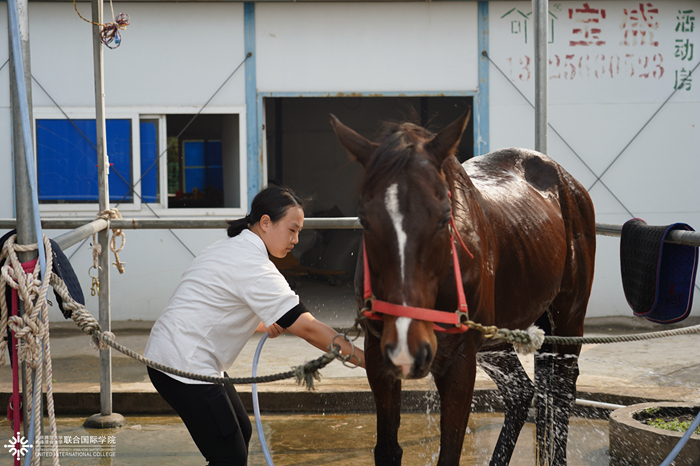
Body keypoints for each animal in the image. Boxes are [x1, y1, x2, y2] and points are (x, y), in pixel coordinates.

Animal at [330, 110, 592, 466]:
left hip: (568, 319)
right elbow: (387, 450)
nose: (409, 345)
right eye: (365, 221)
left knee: (562, 394)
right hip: (496, 341)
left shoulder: (459, 361)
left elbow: (450, 452)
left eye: (444, 219)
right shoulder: (378, 356)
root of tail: (567, 181)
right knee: (523, 393)